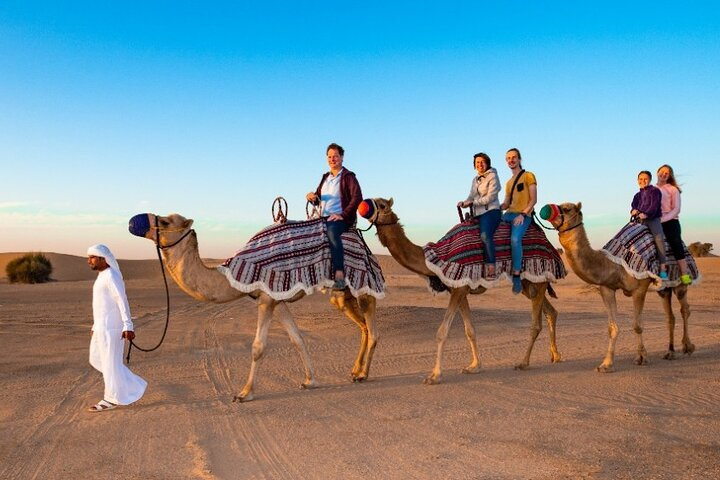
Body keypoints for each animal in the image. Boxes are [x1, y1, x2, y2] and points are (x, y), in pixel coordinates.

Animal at [128, 213, 378, 402]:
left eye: (165, 222)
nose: (133, 221)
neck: (231, 273)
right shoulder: (278, 299)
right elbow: (297, 339)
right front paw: (310, 381)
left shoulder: (267, 297)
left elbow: (258, 346)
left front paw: (244, 393)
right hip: (341, 296)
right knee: (363, 327)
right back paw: (355, 370)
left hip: (364, 280)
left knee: (372, 328)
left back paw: (363, 374)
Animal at [364, 198, 561, 384]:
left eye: (382, 205)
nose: (362, 206)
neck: (435, 258)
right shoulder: (460, 289)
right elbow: (470, 330)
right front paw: (474, 366)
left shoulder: (459, 287)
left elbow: (442, 332)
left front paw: (435, 376)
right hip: (528, 284)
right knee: (551, 311)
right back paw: (555, 356)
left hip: (539, 274)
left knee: (536, 324)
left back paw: (524, 362)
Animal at [539, 202, 694, 372]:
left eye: (567, 209)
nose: (545, 208)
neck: (612, 264)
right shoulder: (607, 288)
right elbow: (612, 328)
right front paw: (606, 364)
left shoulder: (639, 288)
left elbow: (637, 325)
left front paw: (642, 357)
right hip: (664, 289)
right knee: (670, 316)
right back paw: (670, 352)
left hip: (679, 281)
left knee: (684, 309)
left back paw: (688, 347)